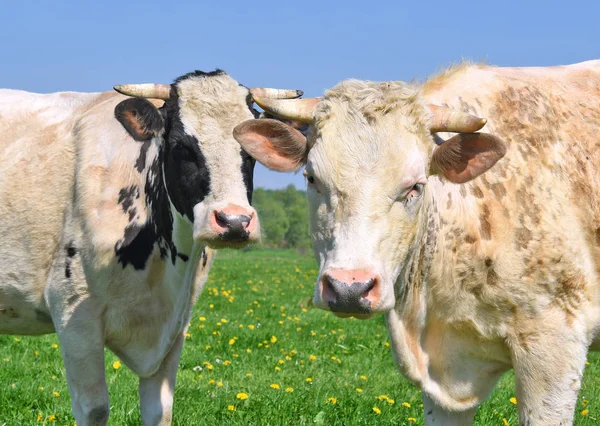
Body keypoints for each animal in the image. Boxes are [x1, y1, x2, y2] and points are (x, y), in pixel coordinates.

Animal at [0, 70, 300, 426]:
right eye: (181, 146)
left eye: (250, 152)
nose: (234, 221)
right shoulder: (74, 315)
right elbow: (95, 408)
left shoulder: (175, 326)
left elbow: (160, 410)